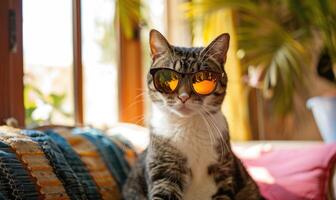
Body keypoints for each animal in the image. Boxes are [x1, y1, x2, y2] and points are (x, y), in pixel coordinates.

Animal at [122, 29, 264, 200]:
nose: (183, 96)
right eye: (167, 77)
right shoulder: (163, 170)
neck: (188, 125)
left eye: (203, 79)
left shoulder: (225, 172)